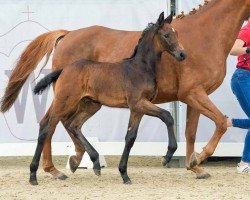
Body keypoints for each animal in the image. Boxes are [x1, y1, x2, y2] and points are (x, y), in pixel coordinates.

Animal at [31, 12, 186, 184]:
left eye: (177, 33)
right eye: (166, 35)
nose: (182, 54)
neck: (141, 68)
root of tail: (64, 69)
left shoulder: (137, 109)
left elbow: (130, 137)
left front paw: (124, 174)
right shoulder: (138, 103)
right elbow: (167, 116)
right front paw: (167, 156)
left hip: (91, 105)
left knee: (74, 125)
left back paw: (95, 163)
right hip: (64, 101)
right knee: (47, 126)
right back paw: (33, 175)